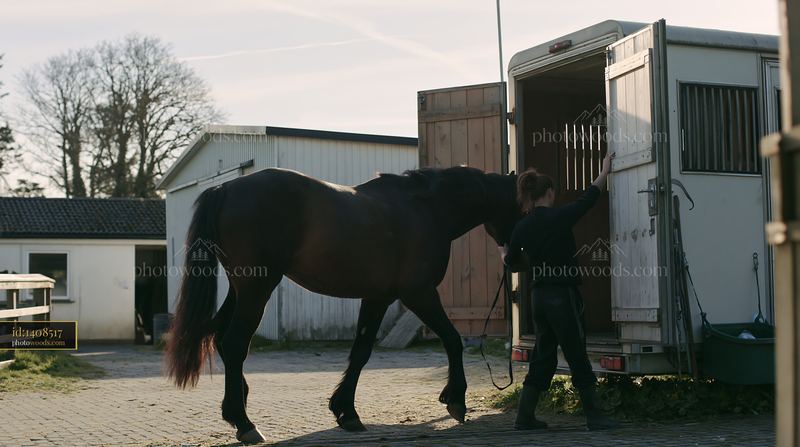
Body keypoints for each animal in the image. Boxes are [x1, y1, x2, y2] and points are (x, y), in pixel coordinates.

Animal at [165, 165, 520, 444]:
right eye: (520, 204)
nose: (514, 257)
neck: (425, 208)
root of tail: (225, 188)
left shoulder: (378, 297)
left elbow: (361, 351)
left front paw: (346, 411)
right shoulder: (418, 293)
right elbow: (452, 339)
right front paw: (456, 399)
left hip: (242, 290)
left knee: (221, 339)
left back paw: (236, 407)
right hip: (256, 289)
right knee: (235, 343)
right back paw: (245, 423)